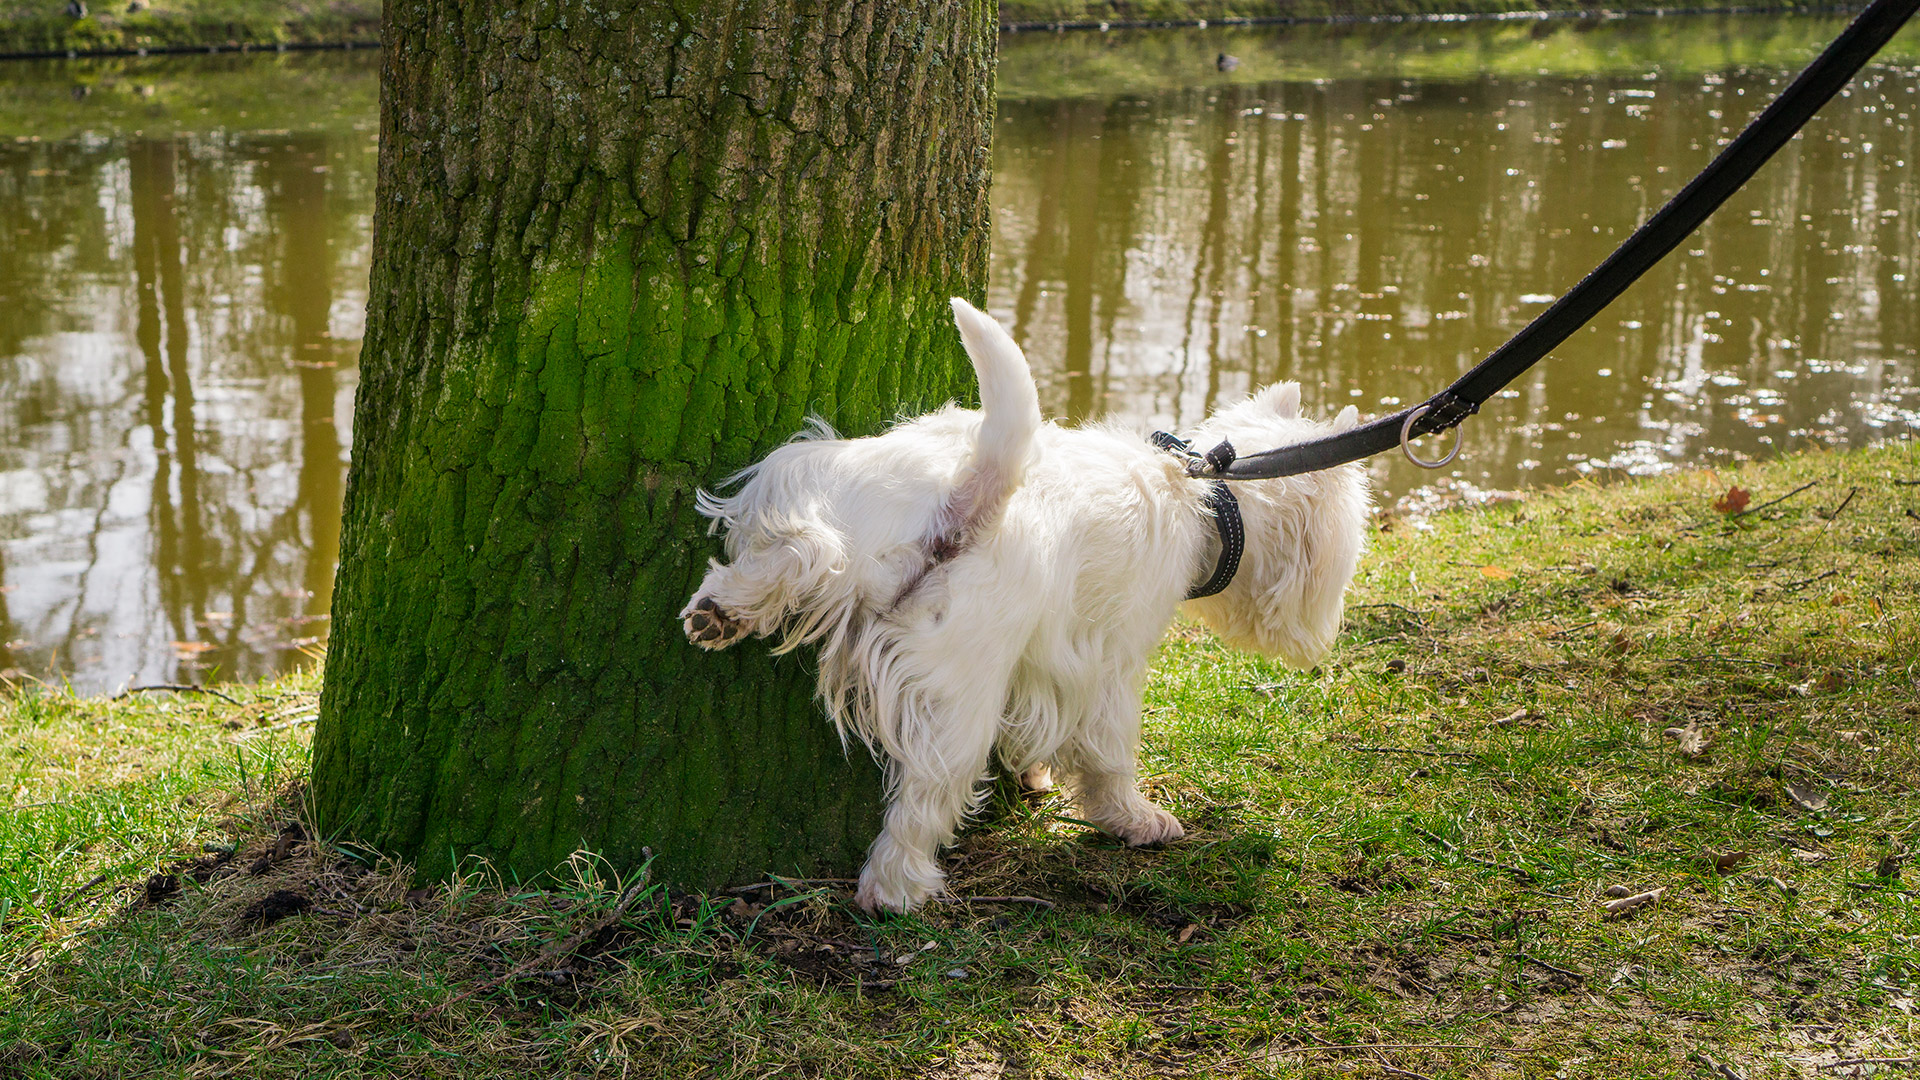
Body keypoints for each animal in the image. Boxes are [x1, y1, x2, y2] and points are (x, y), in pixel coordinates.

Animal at [675, 297, 1367, 910]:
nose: (1322, 641)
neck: (1206, 492)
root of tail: (972, 493)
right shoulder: (1110, 662)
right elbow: (1109, 754)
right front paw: (1135, 819)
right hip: (960, 687)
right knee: (925, 795)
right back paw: (895, 889)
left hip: (837, 500)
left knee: (802, 554)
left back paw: (722, 610)